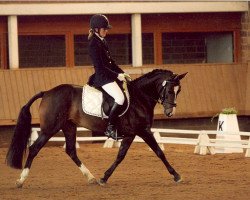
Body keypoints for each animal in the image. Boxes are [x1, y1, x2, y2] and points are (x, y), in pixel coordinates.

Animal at [5, 68, 187, 188]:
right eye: (169, 90)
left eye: (179, 91)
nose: (170, 112)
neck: (139, 97)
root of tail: (47, 92)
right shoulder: (143, 131)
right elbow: (159, 152)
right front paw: (177, 175)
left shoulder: (130, 134)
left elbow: (120, 156)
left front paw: (104, 178)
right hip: (50, 128)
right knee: (34, 148)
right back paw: (20, 180)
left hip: (69, 127)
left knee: (71, 151)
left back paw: (91, 178)